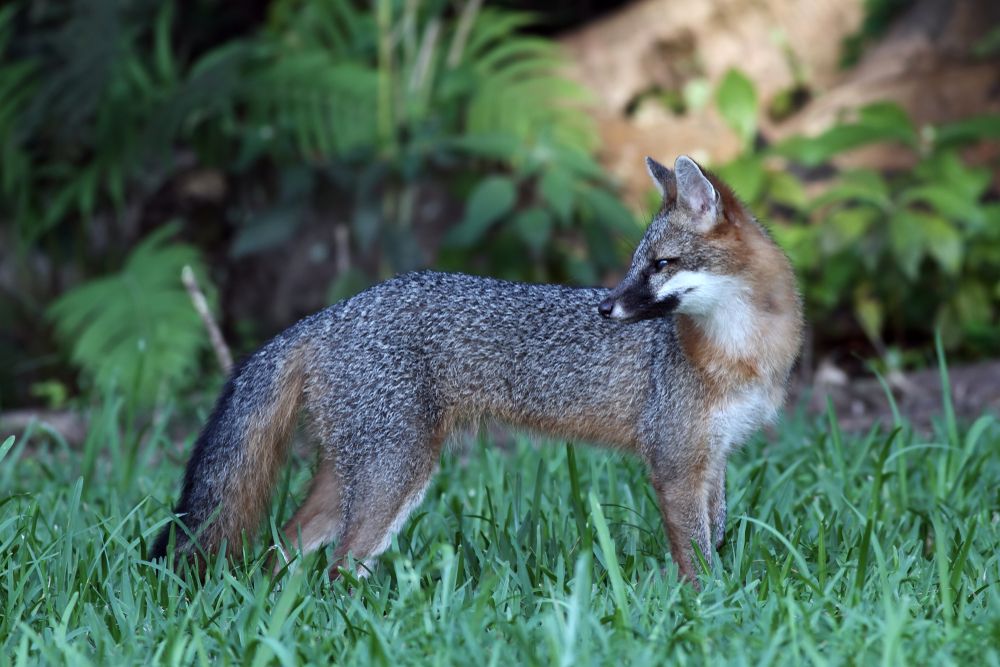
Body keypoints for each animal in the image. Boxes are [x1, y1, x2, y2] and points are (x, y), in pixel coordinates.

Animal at [149, 155, 803, 584]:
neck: (742, 351)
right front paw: (706, 609)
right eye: (637, 263)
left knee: (281, 550)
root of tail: (331, 312)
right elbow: (697, 557)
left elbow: (716, 535)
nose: (606, 307)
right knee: (338, 567)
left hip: (351, 476)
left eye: (661, 264)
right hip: (394, 475)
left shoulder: (712, 458)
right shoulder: (674, 465)